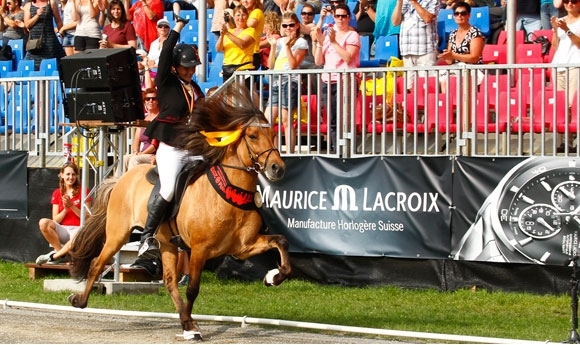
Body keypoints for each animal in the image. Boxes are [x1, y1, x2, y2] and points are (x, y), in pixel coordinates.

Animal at [67, 85, 290, 338]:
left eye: (274, 135)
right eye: (252, 136)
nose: (277, 168)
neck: (231, 192)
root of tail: (121, 178)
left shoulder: (243, 247)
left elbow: (281, 242)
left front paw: (273, 277)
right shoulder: (200, 250)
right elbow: (193, 288)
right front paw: (192, 328)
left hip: (167, 244)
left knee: (170, 281)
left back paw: (185, 319)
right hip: (117, 234)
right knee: (97, 263)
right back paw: (80, 300)